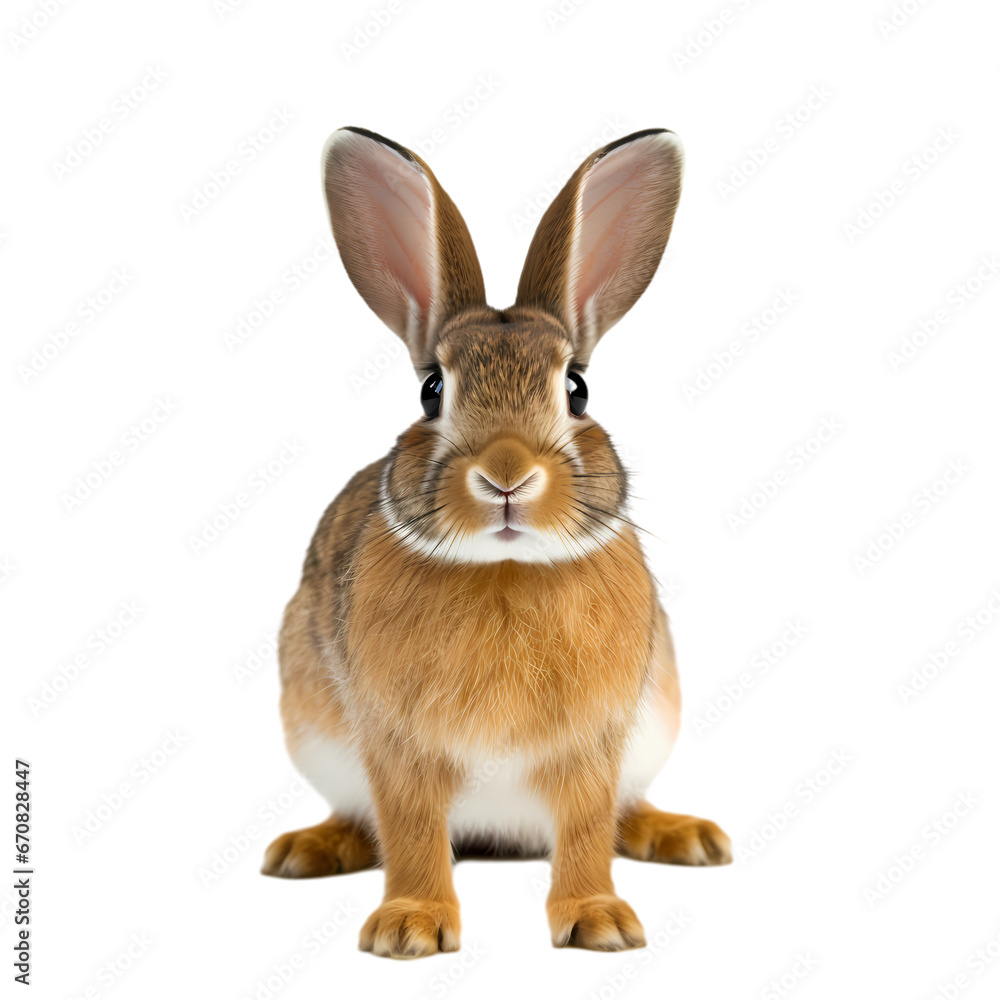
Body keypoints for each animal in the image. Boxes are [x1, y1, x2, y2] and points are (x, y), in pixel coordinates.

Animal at [262, 125, 732, 952]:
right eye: (431, 390)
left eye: (577, 388)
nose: (507, 474)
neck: (504, 570)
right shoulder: (400, 746)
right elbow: (412, 831)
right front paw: (409, 928)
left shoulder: (593, 745)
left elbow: (585, 830)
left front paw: (599, 921)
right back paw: (307, 850)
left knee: (625, 813)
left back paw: (687, 836)